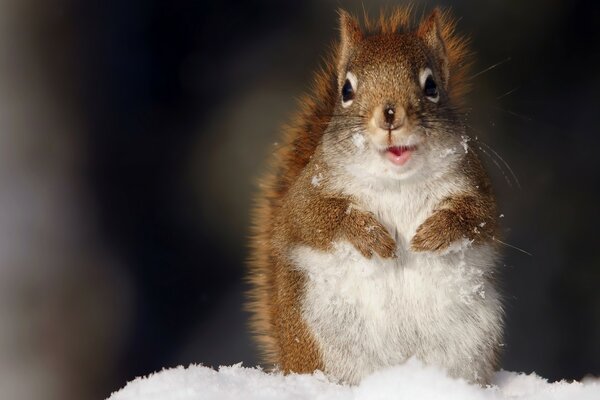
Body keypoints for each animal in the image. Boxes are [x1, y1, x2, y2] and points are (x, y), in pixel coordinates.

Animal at [246, 6, 504, 386]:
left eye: (432, 86)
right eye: (346, 90)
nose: (390, 115)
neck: (396, 181)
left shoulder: (474, 184)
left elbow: (478, 217)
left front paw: (436, 231)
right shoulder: (306, 196)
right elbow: (315, 220)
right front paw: (369, 234)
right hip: (319, 337)